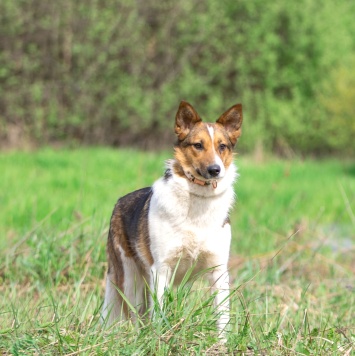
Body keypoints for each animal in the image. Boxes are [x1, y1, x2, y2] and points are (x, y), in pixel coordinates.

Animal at [101, 101, 243, 336]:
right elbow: (159, 315)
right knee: (134, 315)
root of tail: (119, 202)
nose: (215, 170)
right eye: (198, 145)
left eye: (222, 146)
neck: (198, 200)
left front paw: (221, 342)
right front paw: (159, 338)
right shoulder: (161, 269)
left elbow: (223, 319)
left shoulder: (218, 271)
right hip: (130, 280)